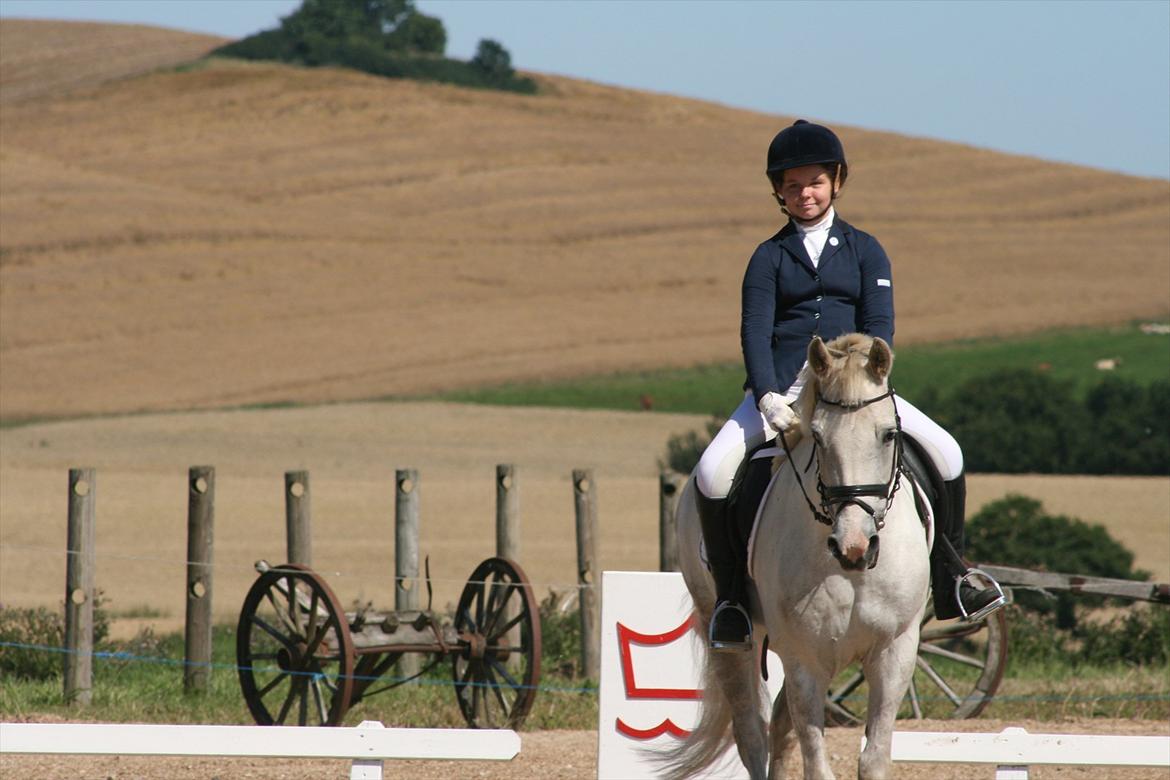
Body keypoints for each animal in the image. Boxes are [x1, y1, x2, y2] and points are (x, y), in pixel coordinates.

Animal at [669, 334, 931, 780]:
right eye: (818, 438)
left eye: (888, 435)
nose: (853, 547)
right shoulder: (805, 658)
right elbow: (816, 763)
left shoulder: (895, 650)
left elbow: (873, 758)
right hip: (727, 632)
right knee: (751, 731)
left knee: (778, 727)